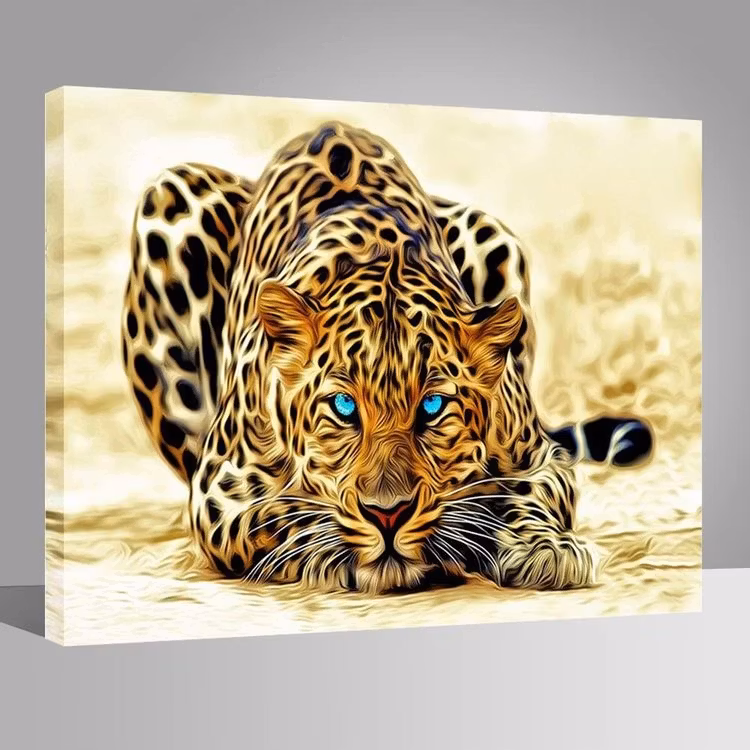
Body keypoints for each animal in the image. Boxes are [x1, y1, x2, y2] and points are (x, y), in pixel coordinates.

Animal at [121, 120, 653, 595]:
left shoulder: (541, 457)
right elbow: (280, 515)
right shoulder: (219, 490)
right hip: (168, 198)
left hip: (490, 232)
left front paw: (545, 549)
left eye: (433, 407)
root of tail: (330, 125)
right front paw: (336, 551)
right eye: (343, 408)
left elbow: (528, 496)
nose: (388, 514)